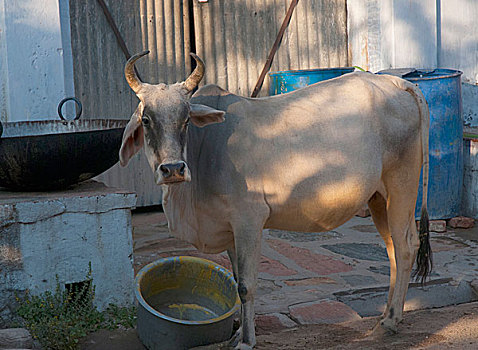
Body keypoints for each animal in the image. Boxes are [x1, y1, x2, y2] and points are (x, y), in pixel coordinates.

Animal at [117, 50, 432, 348]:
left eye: (185, 120)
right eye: (146, 119)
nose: (173, 169)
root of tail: (397, 83)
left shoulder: (249, 221)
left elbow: (246, 286)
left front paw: (246, 341)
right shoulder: (230, 231)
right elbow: (236, 280)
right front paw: (238, 333)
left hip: (402, 186)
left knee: (406, 246)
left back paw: (390, 321)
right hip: (379, 199)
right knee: (392, 251)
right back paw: (387, 315)